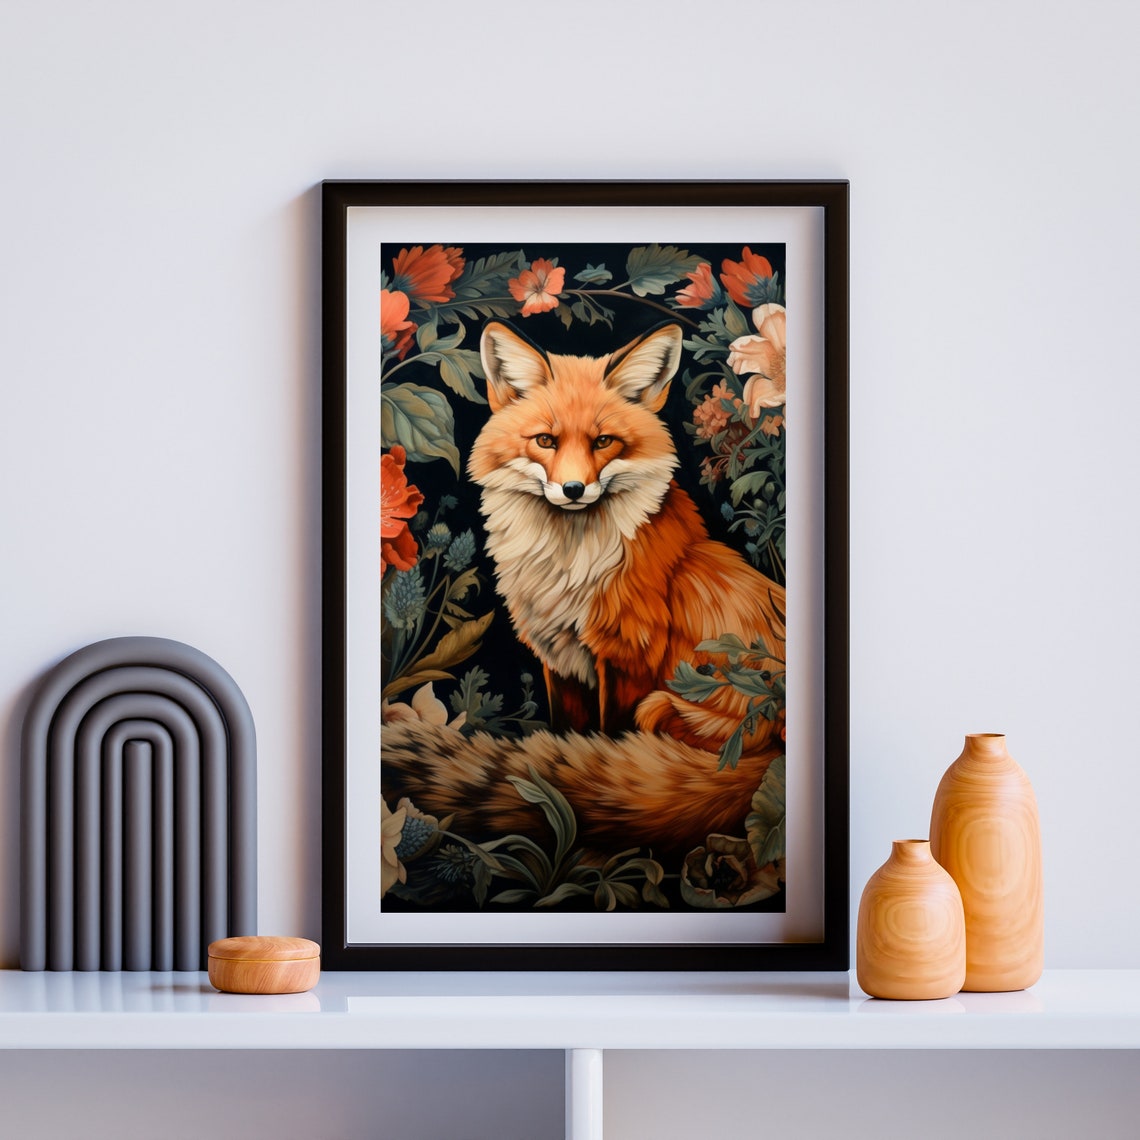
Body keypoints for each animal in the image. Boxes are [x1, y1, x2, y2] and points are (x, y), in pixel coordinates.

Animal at [383, 319, 787, 861]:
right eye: (545, 440)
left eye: (603, 441)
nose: (573, 490)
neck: (568, 568)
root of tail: (772, 750)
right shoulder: (559, 659)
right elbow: (570, 736)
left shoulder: (627, 659)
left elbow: (605, 743)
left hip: (664, 707)